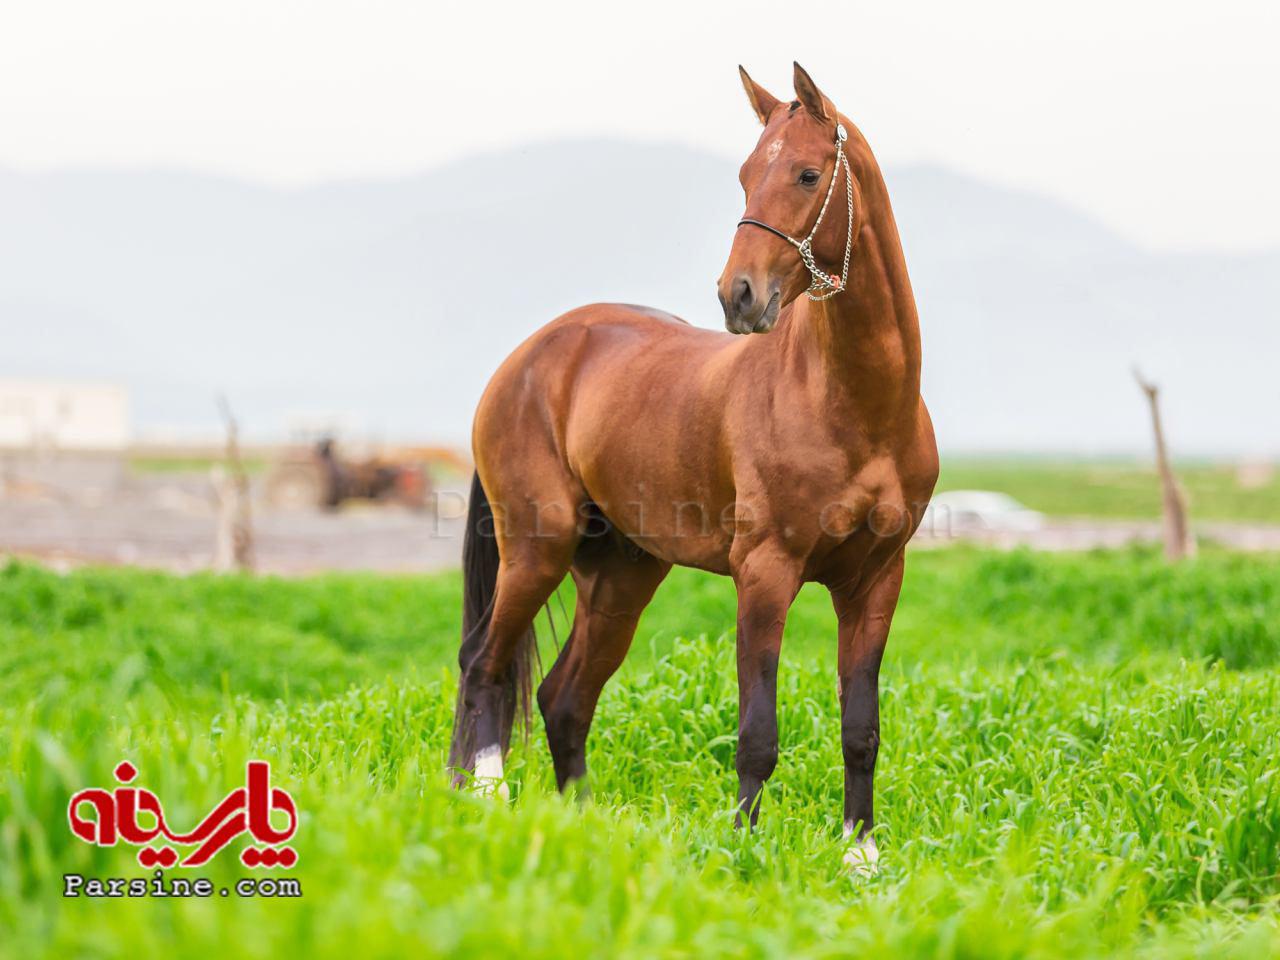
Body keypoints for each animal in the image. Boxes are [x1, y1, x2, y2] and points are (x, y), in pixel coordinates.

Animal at [450, 60, 942, 870]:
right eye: (745, 175)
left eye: (808, 174)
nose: (738, 296)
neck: (856, 407)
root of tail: (528, 358)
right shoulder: (764, 573)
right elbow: (757, 732)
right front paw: (742, 851)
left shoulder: (876, 580)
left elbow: (861, 728)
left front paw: (860, 856)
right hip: (535, 550)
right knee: (484, 664)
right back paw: (483, 800)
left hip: (620, 576)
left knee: (562, 698)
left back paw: (579, 824)